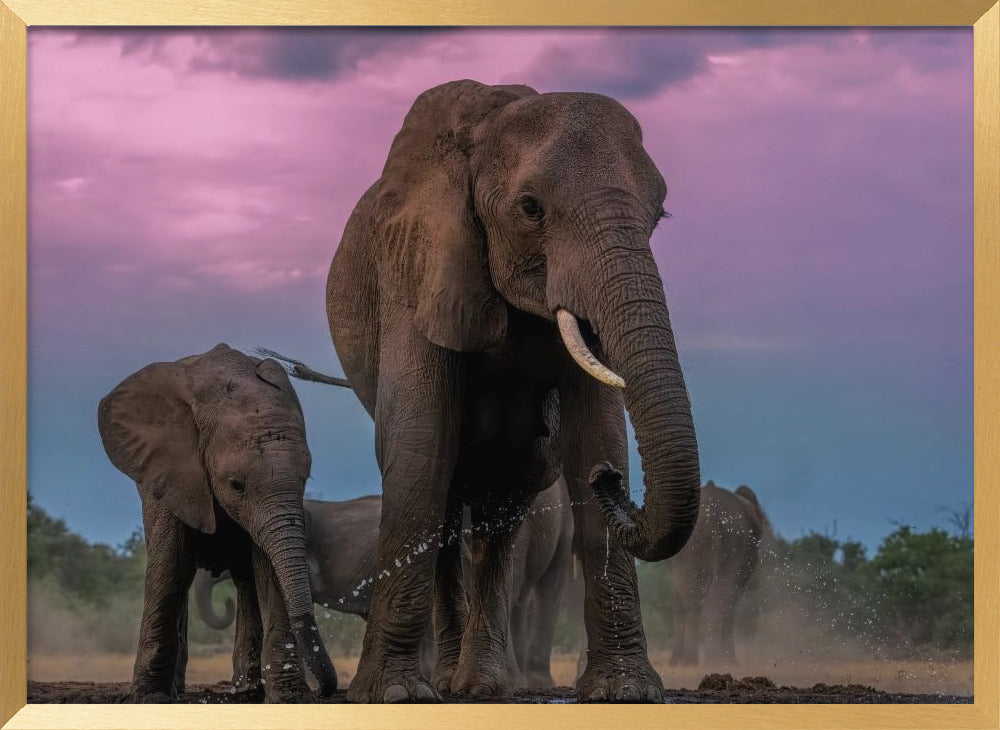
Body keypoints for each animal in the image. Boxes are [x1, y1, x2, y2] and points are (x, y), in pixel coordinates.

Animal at [97, 344, 337, 702]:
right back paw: (180, 690)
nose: (323, 690)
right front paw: (150, 698)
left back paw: (247, 691)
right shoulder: (170, 470)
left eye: (305, 479)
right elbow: (171, 565)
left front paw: (291, 699)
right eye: (236, 485)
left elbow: (268, 571)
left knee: (246, 582)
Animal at [325, 79, 701, 702]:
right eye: (530, 209)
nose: (609, 482)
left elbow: (596, 432)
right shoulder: (416, 265)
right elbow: (421, 444)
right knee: (448, 493)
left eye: (660, 214)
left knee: (504, 506)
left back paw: (480, 686)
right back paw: (447, 684)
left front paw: (626, 692)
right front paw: (393, 695)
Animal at [668, 481, 770, 667]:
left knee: (687, 599)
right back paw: (713, 661)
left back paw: (688, 662)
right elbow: (731, 599)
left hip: (687, 550)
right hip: (731, 547)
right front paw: (730, 662)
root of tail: (708, 518)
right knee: (718, 598)